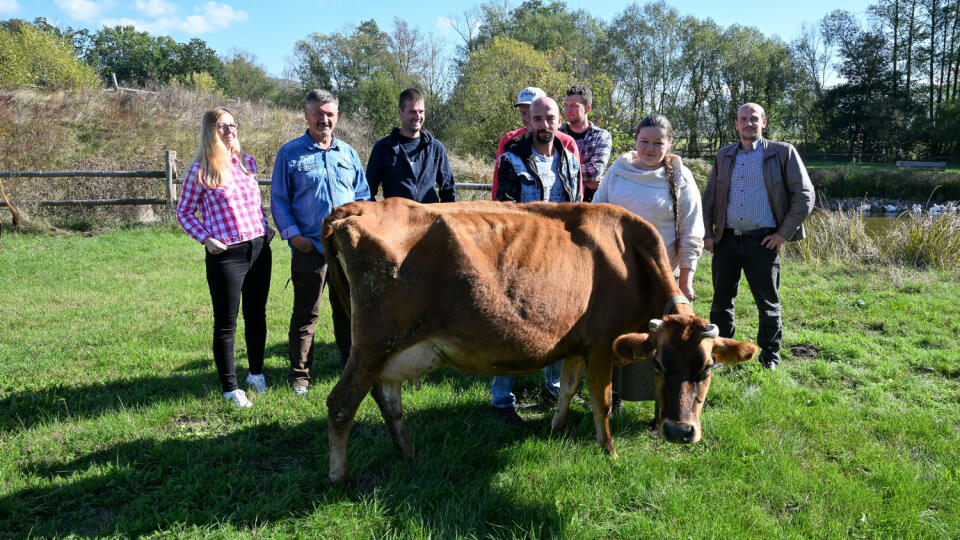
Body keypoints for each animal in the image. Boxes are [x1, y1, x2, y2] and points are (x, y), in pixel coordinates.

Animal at [322, 197, 756, 486]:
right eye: (659, 364)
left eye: (707, 367)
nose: (680, 432)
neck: (630, 257)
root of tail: (354, 208)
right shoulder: (602, 343)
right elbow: (600, 401)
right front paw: (610, 453)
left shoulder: (578, 344)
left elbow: (567, 387)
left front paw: (555, 428)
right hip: (372, 344)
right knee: (341, 404)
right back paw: (339, 478)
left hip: (390, 350)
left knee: (389, 402)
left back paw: (408, 455)